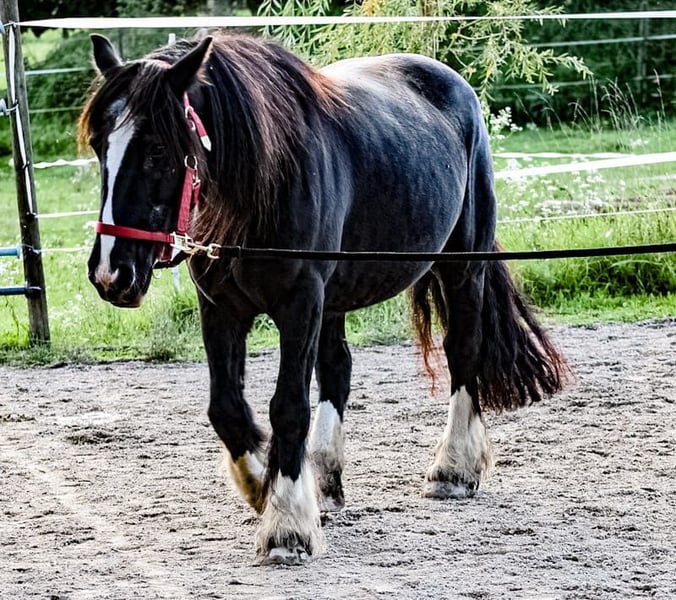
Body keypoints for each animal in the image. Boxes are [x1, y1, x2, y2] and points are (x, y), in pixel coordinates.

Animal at [80, 32, 567, 565]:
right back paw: (326, 477)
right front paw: (265, 487)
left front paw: (288, 523)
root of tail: (453, 82)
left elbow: (289, 407)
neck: (261, 186)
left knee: (463, 352)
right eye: (100, 146)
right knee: (338, 367)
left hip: (462, 266)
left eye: (158, 151)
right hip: (336, 299)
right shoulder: (222, 308)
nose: (110, 273)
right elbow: (226, 408)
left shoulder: (300, 304)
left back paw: (454, 469)